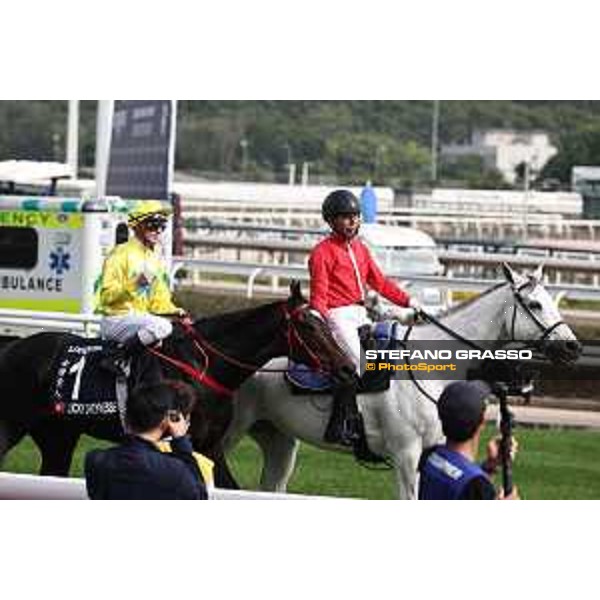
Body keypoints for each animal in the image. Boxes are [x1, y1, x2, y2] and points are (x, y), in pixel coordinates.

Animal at [0, 282, 356, 488]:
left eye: (325, 321)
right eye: (309, 326)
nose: (348, 367)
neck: (202, 367)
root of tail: (12, 347)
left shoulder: (210, 444)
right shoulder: (177, 442)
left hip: (58, 436)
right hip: (12, 425)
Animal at [224, 264, 580, 500]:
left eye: (552, 301)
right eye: (534, 304)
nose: (573, 346)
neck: (431, 368)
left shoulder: (433, 452)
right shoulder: (407, 455)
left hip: (279, 440)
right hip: (231, 432)